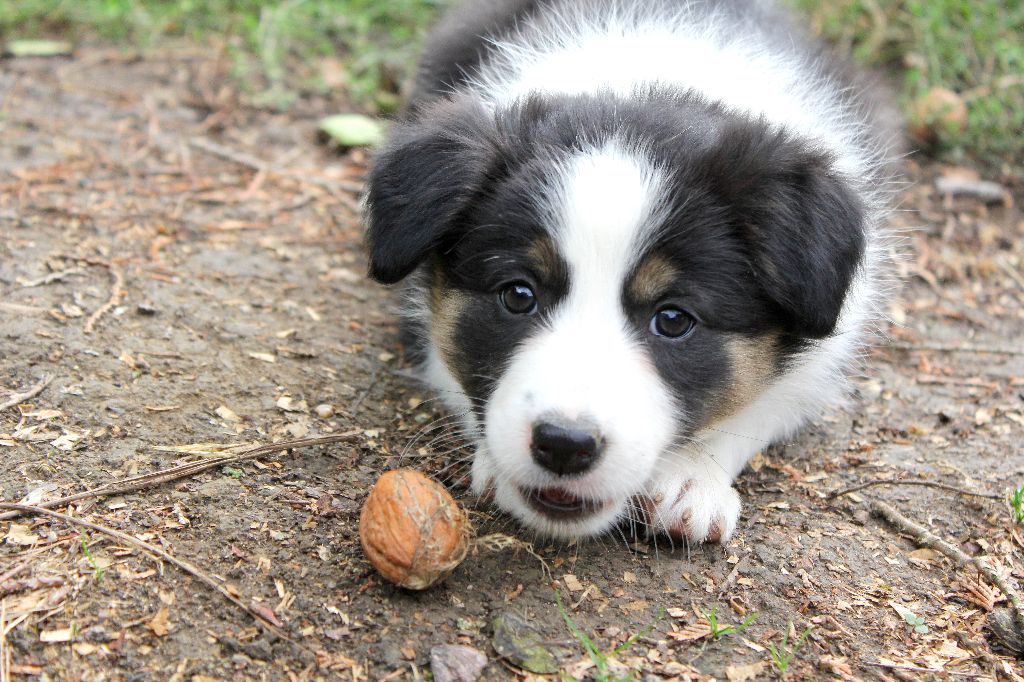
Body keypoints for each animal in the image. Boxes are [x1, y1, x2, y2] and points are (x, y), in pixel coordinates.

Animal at [362, 0, 897, 540]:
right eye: (517, 295)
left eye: (674, 319)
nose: (564, 445)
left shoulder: (831, 346)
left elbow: (769, 401)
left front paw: (691, 480)